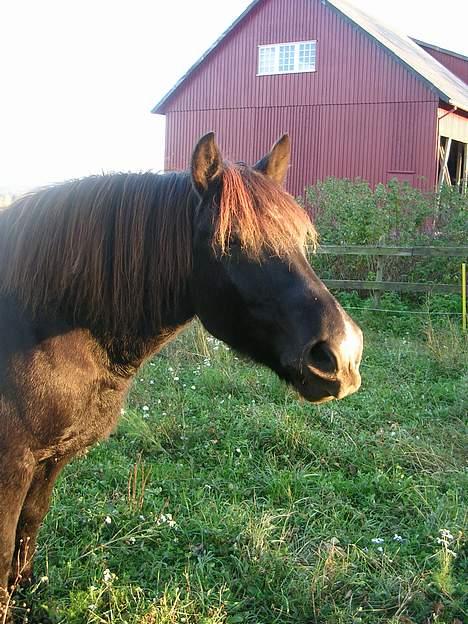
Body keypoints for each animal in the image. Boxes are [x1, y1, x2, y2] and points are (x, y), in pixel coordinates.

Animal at [0, 134, 362, 616]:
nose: (343, 354)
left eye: (301, 240)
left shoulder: (49, 460)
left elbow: (27, 530)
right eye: (231, 241)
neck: (37, 324)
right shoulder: (12, 465)